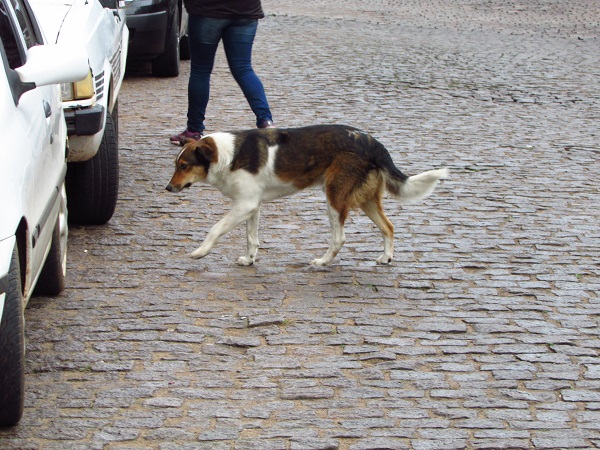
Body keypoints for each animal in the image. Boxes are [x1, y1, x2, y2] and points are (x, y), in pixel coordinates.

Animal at [166, 125, 448, 266]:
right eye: (176, 165)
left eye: (184, 166)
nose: (168, 188)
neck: (228, 155)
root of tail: (372, 143)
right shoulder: (251, 206)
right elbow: (251, 239)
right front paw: (249, 260)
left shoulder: (244, 205)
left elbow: (215, 229)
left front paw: (200, 252)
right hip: (365, 200)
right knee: (388, 227)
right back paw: (386, 257)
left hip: (335, 197)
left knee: (340, 238)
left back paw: (322, 262)